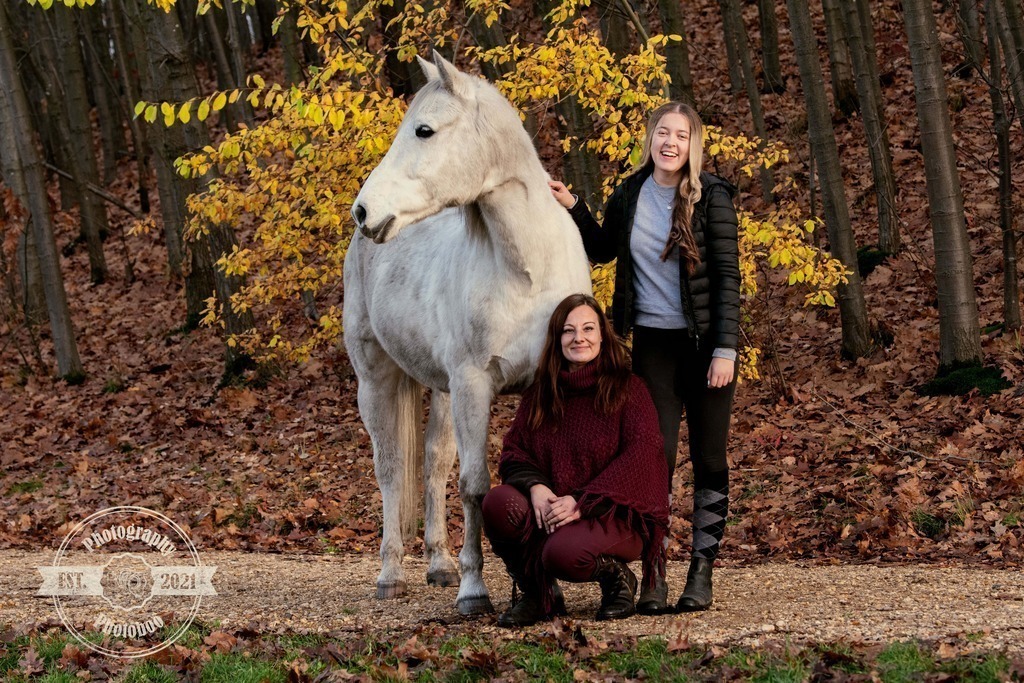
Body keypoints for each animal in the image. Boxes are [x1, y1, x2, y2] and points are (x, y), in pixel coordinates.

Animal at [344, 51, 593, 615]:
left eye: (425, 130)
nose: (365, 211)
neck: (525, 270)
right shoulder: (474, 385)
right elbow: (476, 486)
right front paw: (474, 590)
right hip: (378, 381)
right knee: (391, 468)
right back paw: (392, 574)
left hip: (440, 391)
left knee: (433, 462)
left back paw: (437, 564)